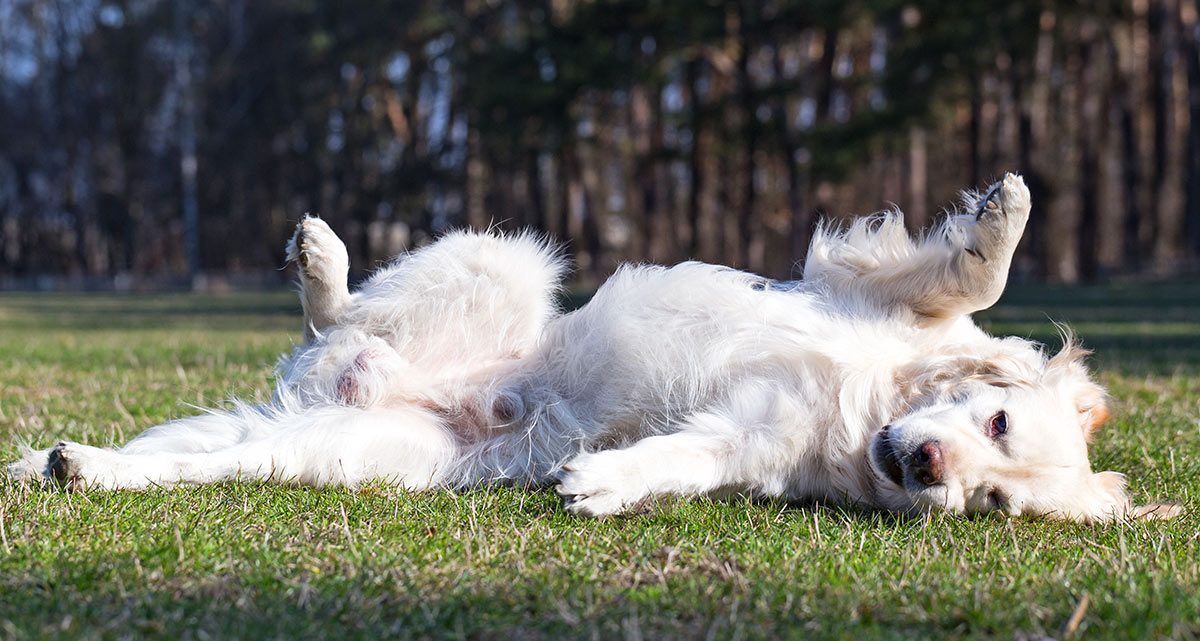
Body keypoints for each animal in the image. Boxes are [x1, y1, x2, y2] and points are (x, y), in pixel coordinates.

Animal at [4, 175, 1176, 523]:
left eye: (992, 502)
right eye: (995, 420)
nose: (928, 468)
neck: (870, 403)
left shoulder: (743, 440)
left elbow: (678, 458)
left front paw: (600, 480)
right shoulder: (865, 284)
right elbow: (974, 277)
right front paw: (1003, 213)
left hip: (351, 454)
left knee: (217, 459)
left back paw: (78, 465)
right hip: (502, 261)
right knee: (342, 312)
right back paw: (321, 259)